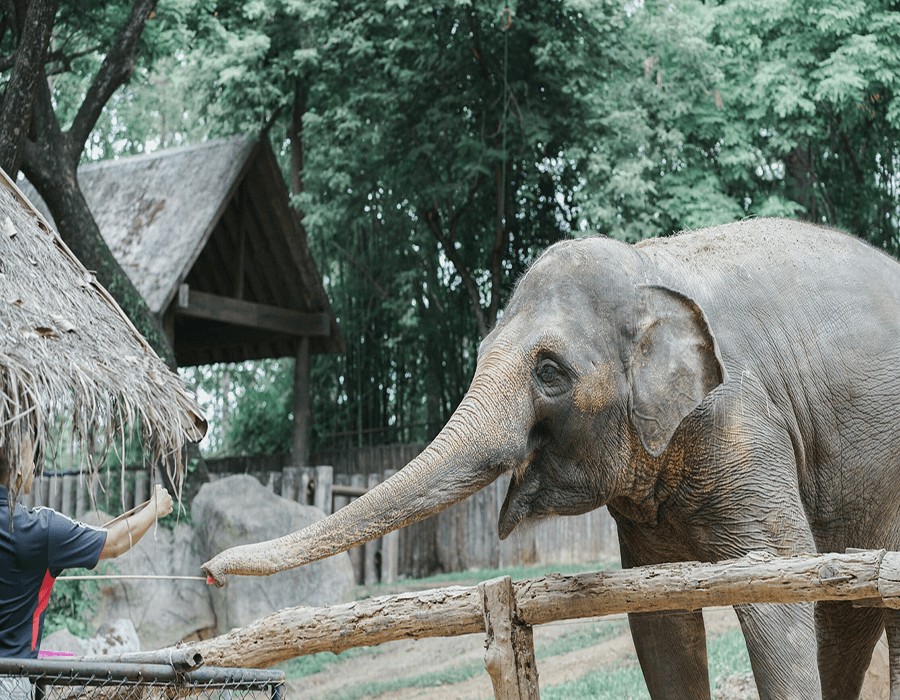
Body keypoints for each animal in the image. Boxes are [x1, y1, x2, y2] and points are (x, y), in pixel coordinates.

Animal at [203, 217, 900, 700]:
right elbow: (661, 618)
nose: (210, 571)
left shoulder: (742, 422)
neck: (650, 267)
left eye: (549, 372)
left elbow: (775, 584)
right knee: (848, 616)